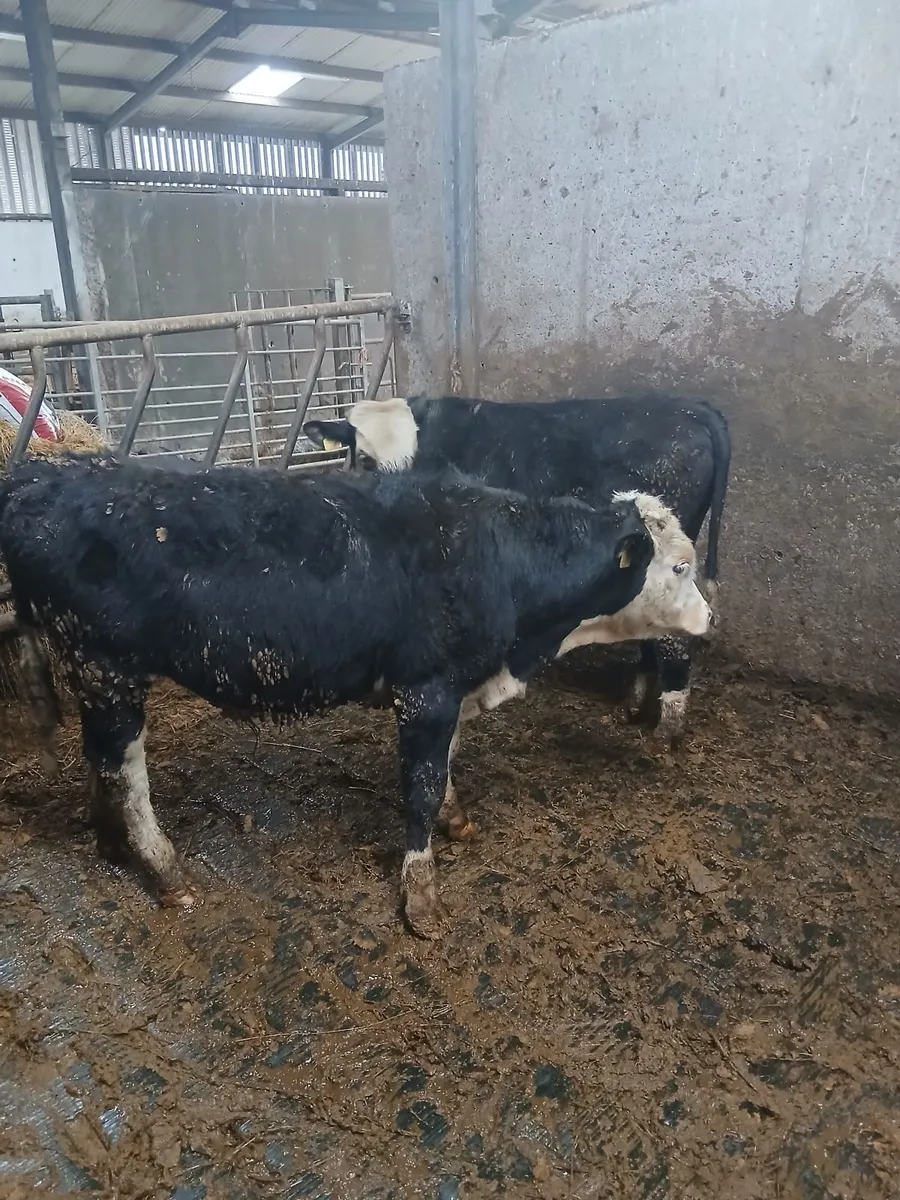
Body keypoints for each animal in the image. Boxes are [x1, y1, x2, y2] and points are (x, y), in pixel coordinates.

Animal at [0, 454, 709, 936]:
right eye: (679, 566)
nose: (709, 617)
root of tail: (41, 476)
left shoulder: (450, 690)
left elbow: (445, 765)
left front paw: (455, 819)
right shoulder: (425, 689)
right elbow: (420, 785)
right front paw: (421, 894)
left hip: (94, 675)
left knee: (100, 762)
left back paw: (110, 841)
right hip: (108, 670)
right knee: (126, 776)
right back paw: (164, 868)